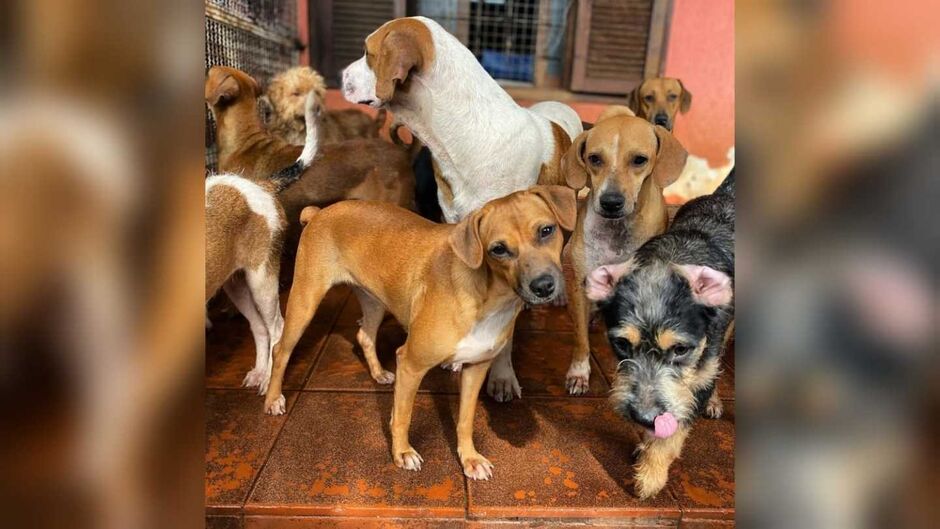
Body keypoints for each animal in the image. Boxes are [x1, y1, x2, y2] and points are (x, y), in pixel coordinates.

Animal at [260, 185, 576, 478]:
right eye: (498, 249)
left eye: (546, 230)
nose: (543, 286)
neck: (488, 300)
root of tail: (318, 213)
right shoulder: (411, 363)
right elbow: (402, 416)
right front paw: (402, 453)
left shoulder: (476, 367)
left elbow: (465, 420)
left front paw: (469, 458)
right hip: (304, 302)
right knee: (280, 350)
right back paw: (273, 399)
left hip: (375, 301)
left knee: (364, 335)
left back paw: (378, 373)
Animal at [556, 107, 688, 394]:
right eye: (594, 158)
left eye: (639, 160)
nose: (611, 202)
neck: (616, 231)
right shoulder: (581, 285)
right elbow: (581, 338)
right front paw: (579, 372)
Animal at [588, 170, 736, 500]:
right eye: (621, 343)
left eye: (680, 349)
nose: (643, 417)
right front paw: (646, 443)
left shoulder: (699, 368)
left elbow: (674, 430)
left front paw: (650, 477)